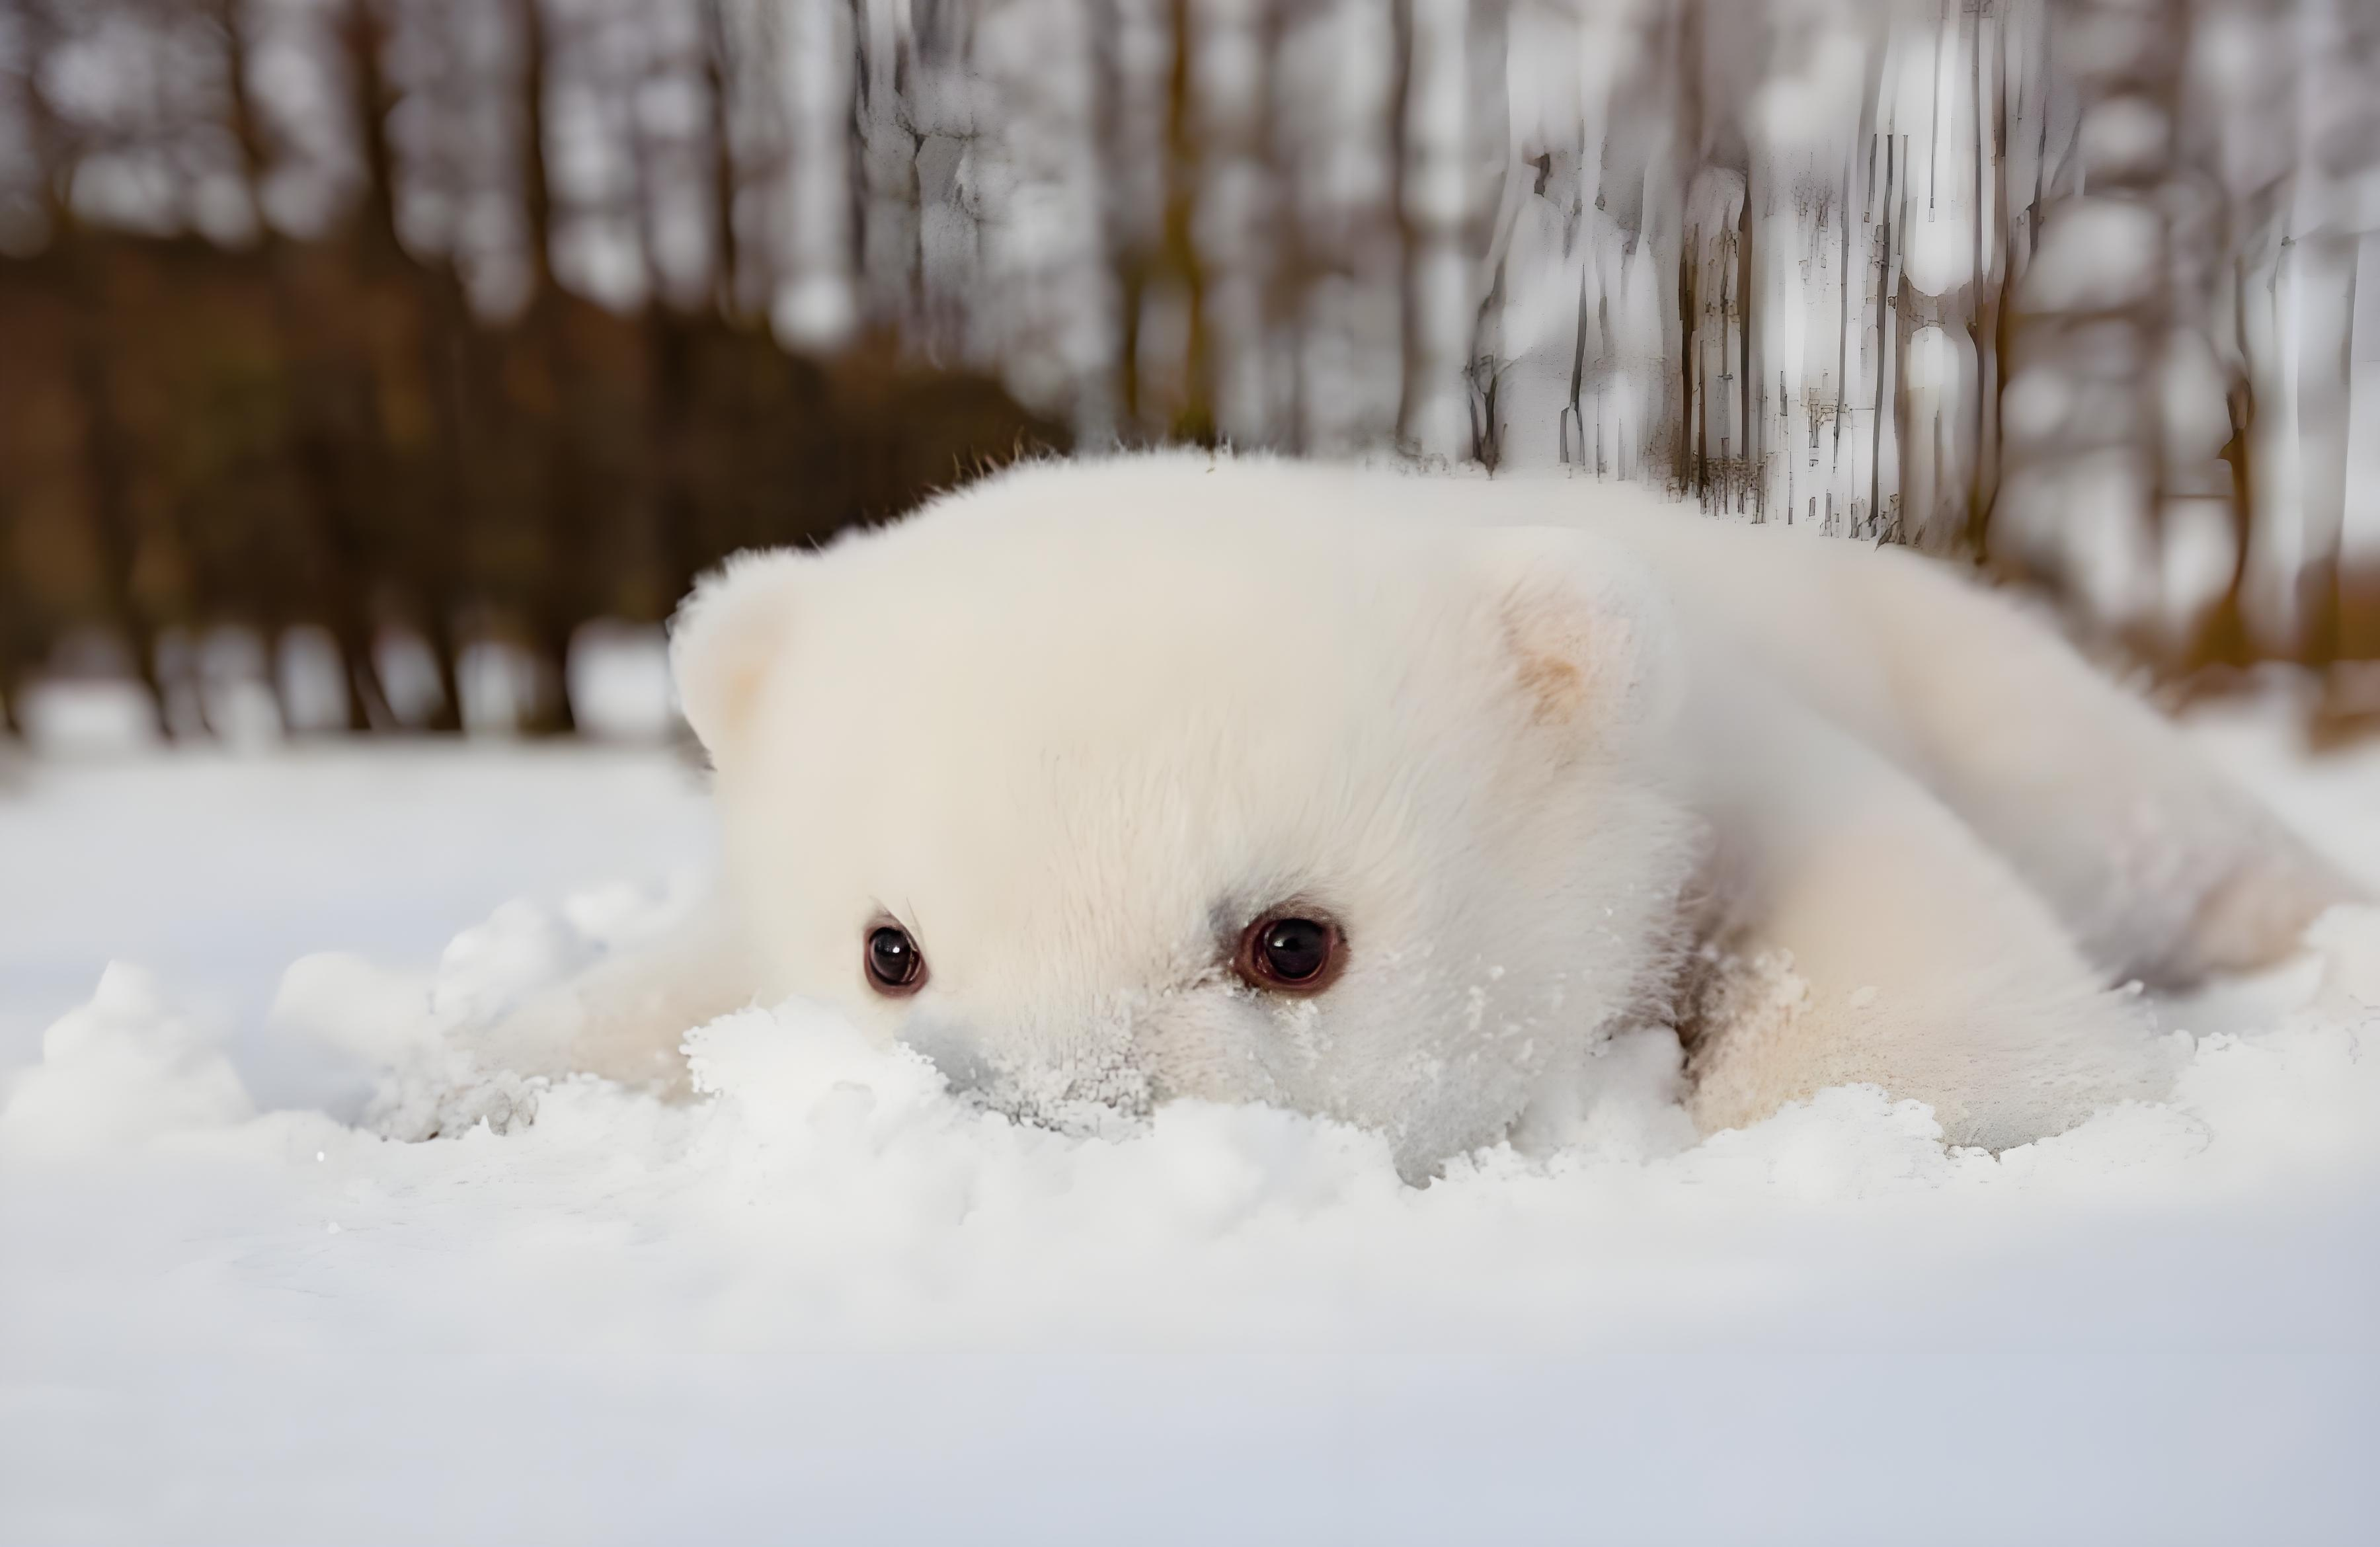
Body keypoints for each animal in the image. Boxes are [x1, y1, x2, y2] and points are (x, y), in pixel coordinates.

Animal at [476, 453, 2355, 1176]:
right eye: (889, 949)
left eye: (1291, 941)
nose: (1052, 1127)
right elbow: (666, 994)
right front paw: (465, 1085)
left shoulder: (1734, 746)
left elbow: (1892, 940)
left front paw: (1919, 1124)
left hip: (1985, 683)